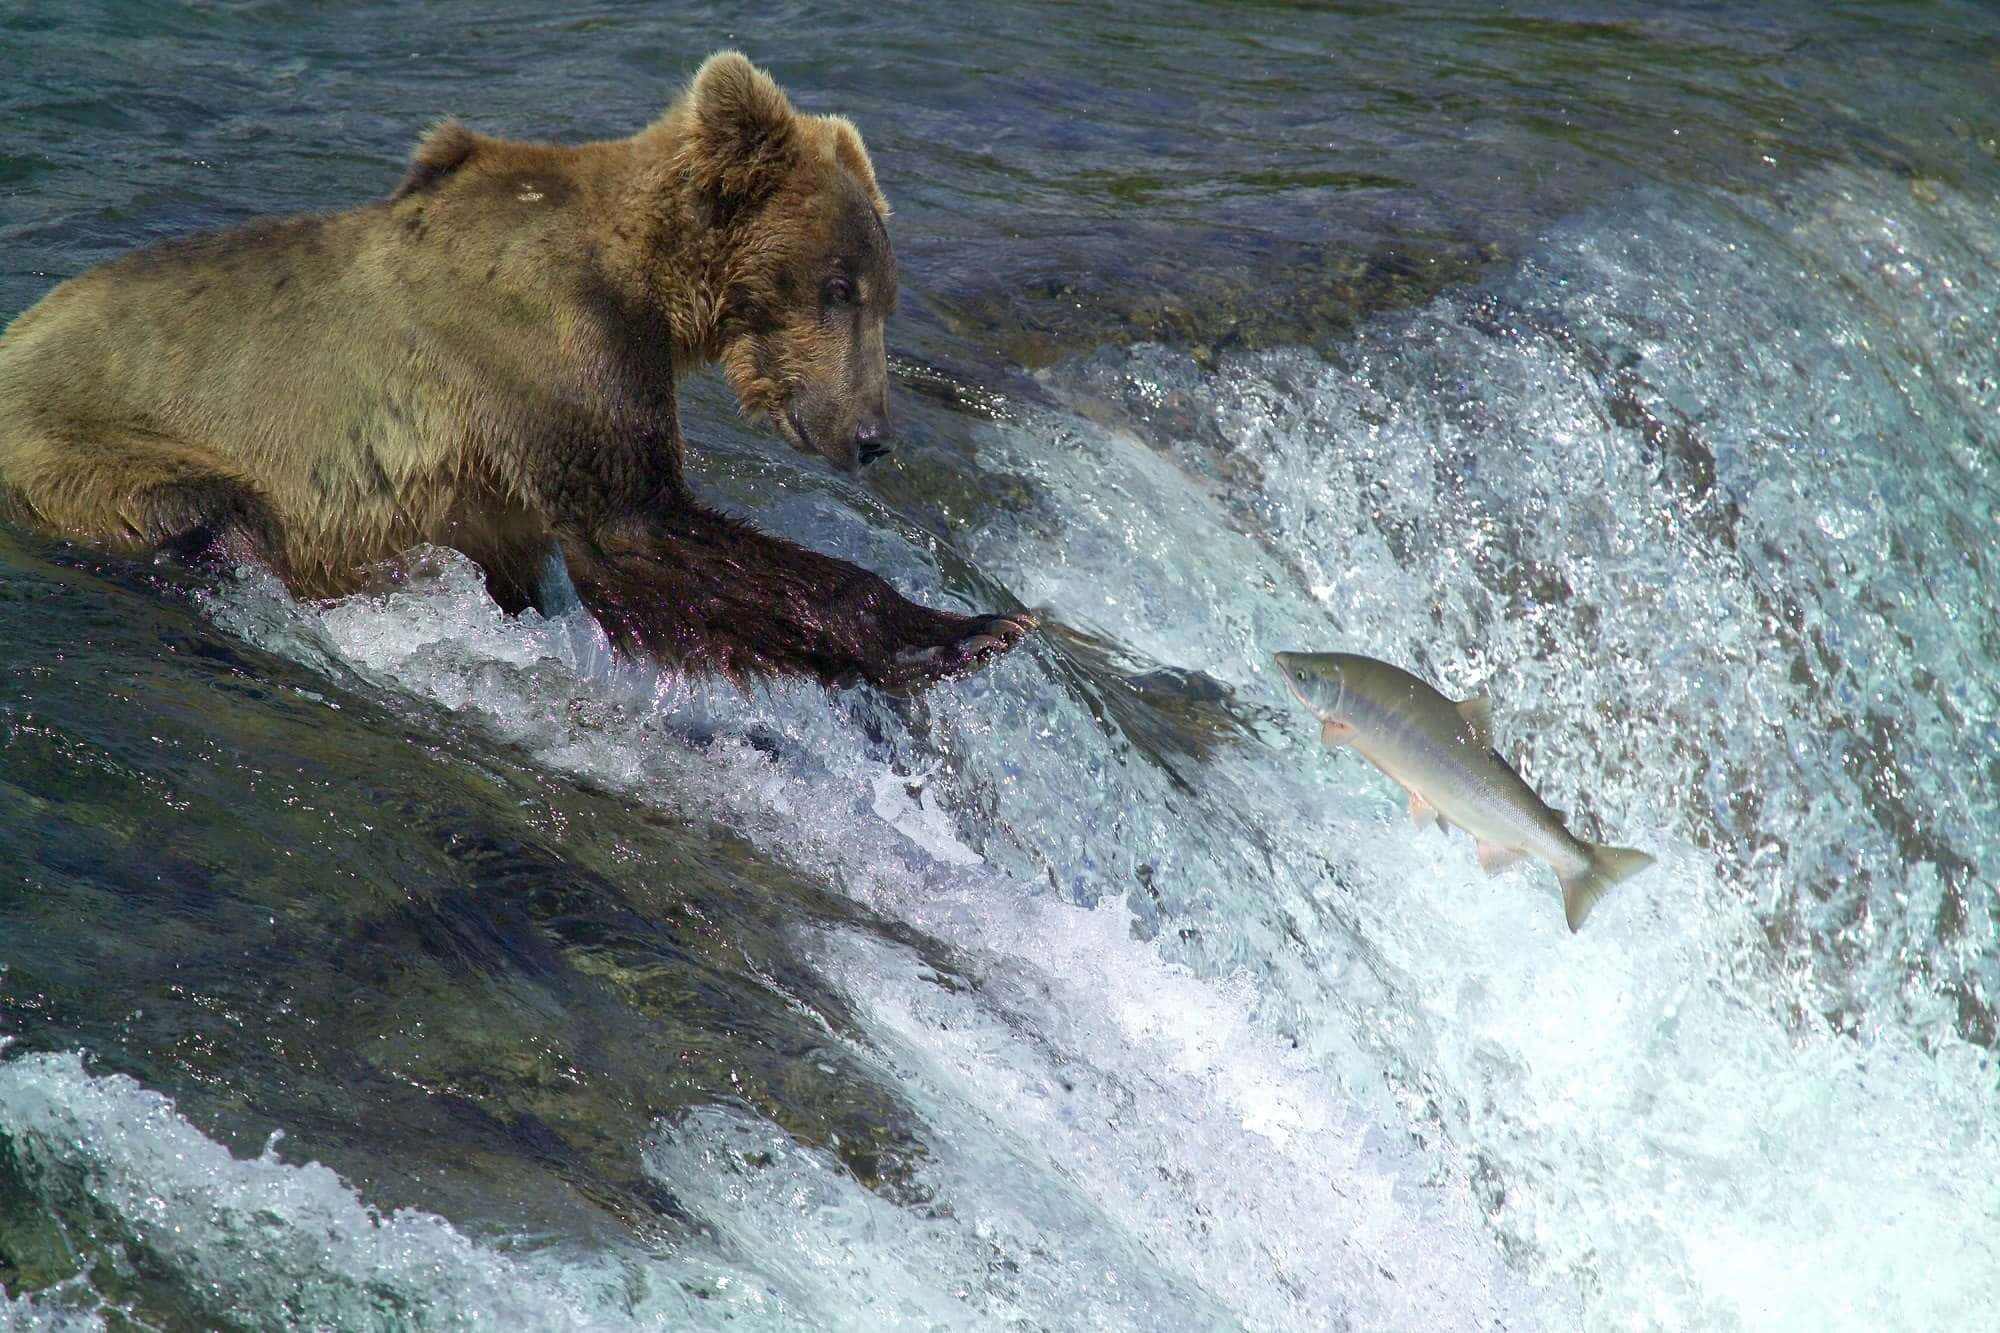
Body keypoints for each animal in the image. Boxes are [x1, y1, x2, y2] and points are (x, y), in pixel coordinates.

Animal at [0, 51, 1031, 690]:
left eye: (882, 295)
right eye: (837, 286)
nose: (872, 436)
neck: (648, 288)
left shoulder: (504, 473)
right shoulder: (548, 355)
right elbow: (642, 529)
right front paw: (965, 631)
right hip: (86, 445)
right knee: (210, 511)